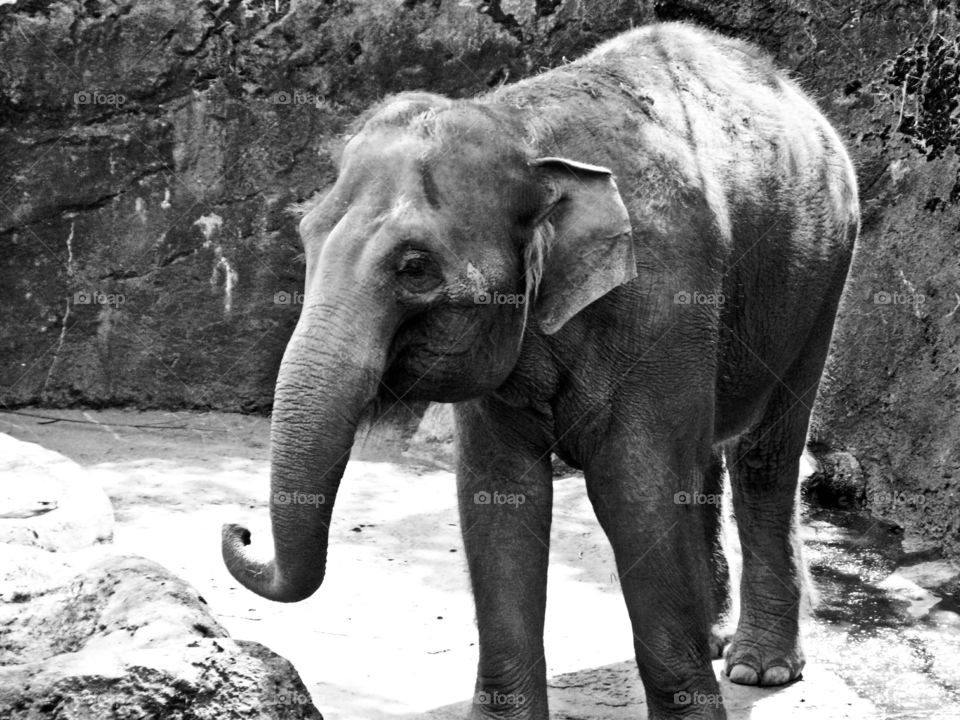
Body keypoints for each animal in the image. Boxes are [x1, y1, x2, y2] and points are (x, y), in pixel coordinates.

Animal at [223, 21, 859, 720]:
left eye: (414, 267)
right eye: (305, 238)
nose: (238, 530)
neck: (525, 134)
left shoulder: (665, 292)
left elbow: (638, 487)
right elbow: (500, 494)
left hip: (821, 280)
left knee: (766, 456)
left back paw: (759, 668)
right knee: (705, 460)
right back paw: (718, 640)